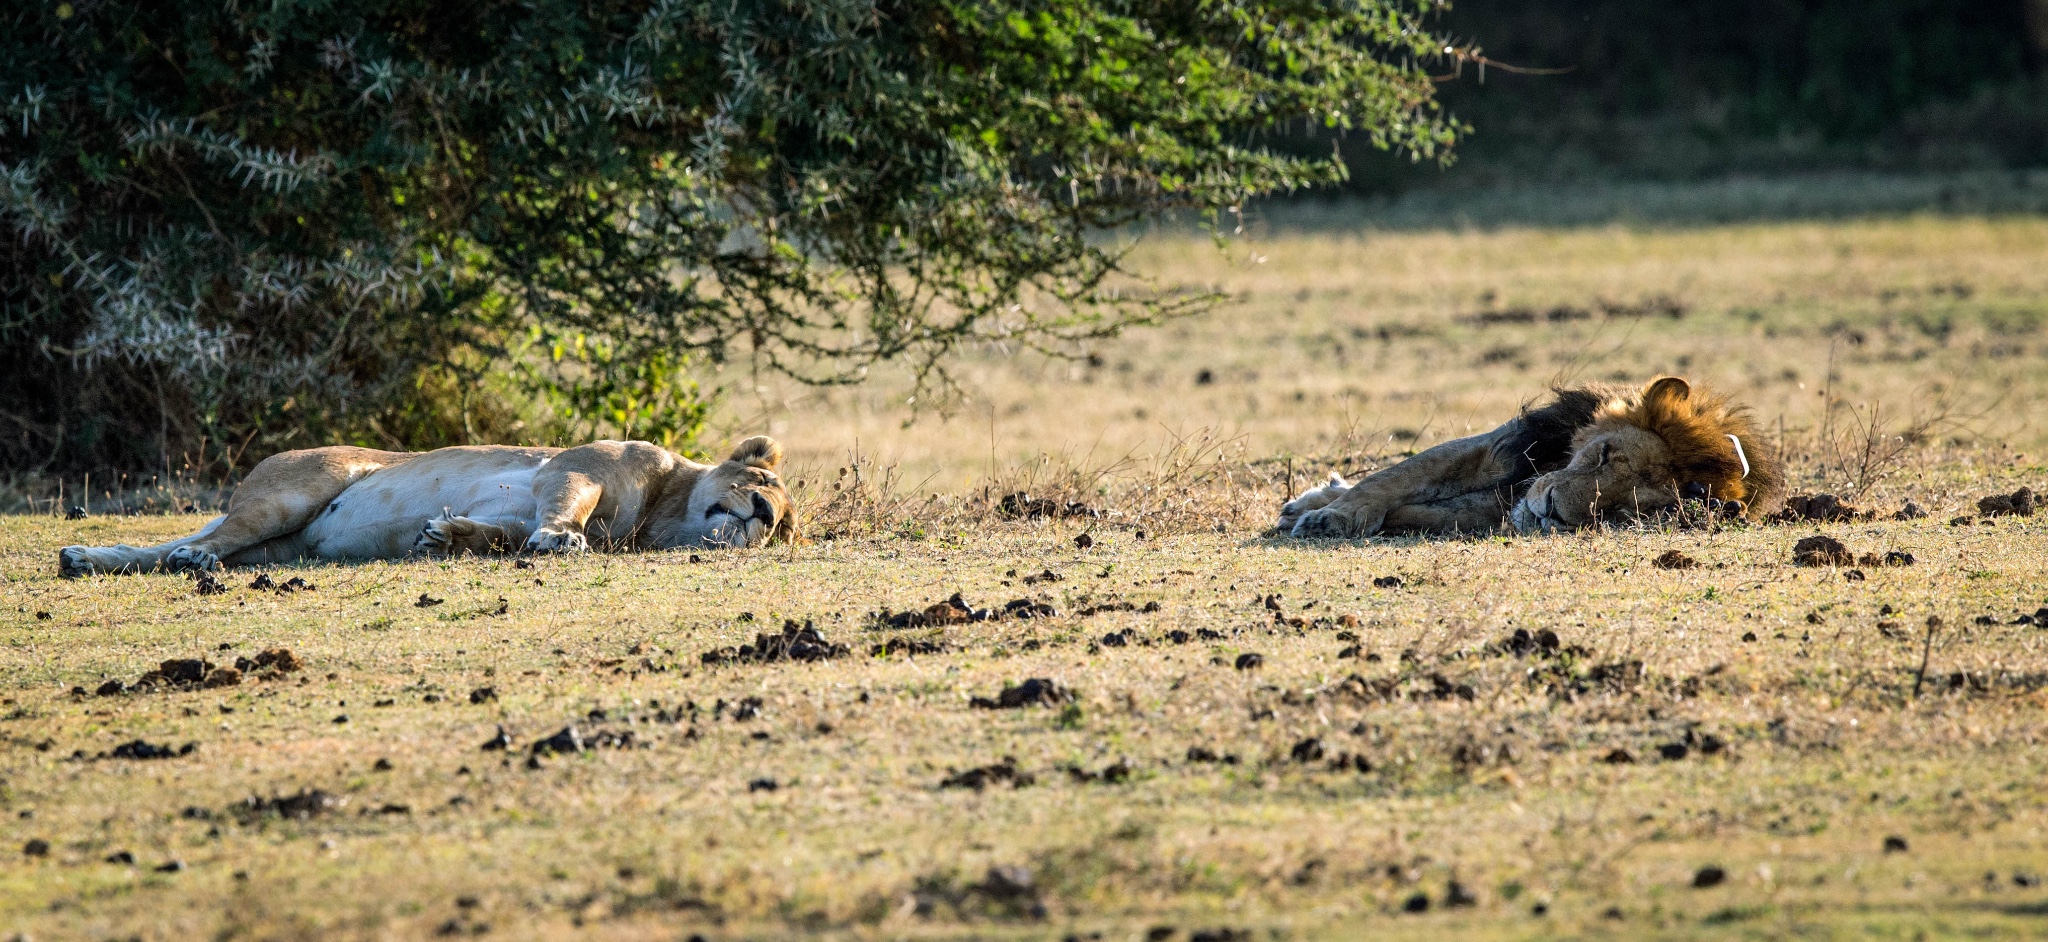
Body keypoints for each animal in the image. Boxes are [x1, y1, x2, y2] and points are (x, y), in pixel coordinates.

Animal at [1277, 374, 1777, 536]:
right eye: (1604, 454)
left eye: (1623, 509)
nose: (1551, 510)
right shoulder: (1502, 448)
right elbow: (1392, 477)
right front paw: (1330, 518)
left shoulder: (1494, 505)